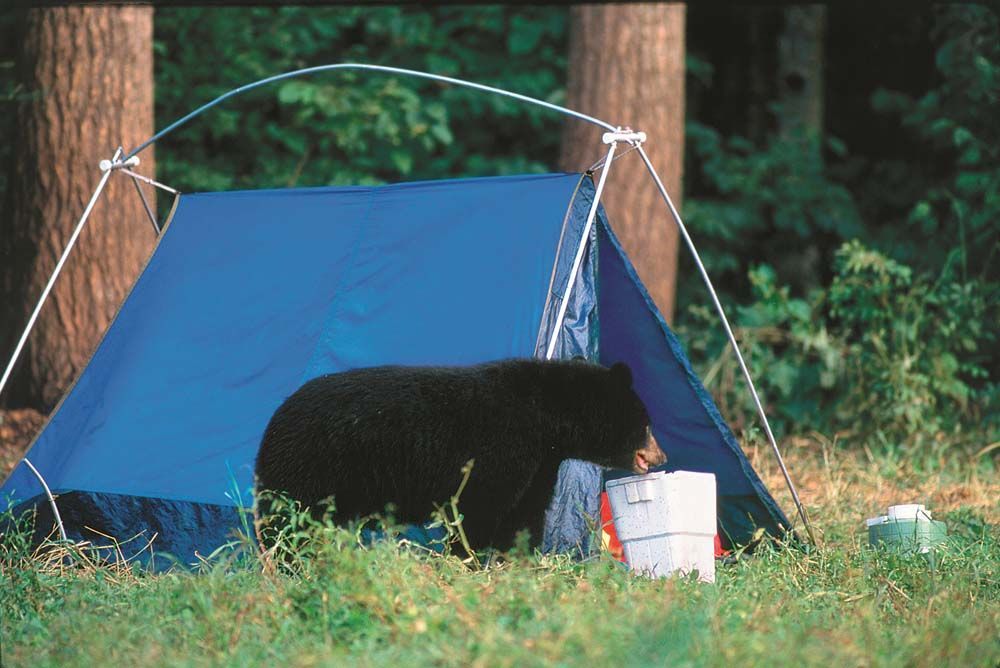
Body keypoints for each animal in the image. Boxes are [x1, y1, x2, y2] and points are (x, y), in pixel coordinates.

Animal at [254, 358, 665, 552]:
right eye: (646, 423)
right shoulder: (500, 449)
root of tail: (275, 419)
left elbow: (523, 517)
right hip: (310, 467)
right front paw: (466, 559)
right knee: (288, 524)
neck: (544, 417)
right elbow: (477, 511)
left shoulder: (538, 464)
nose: (660, 457)